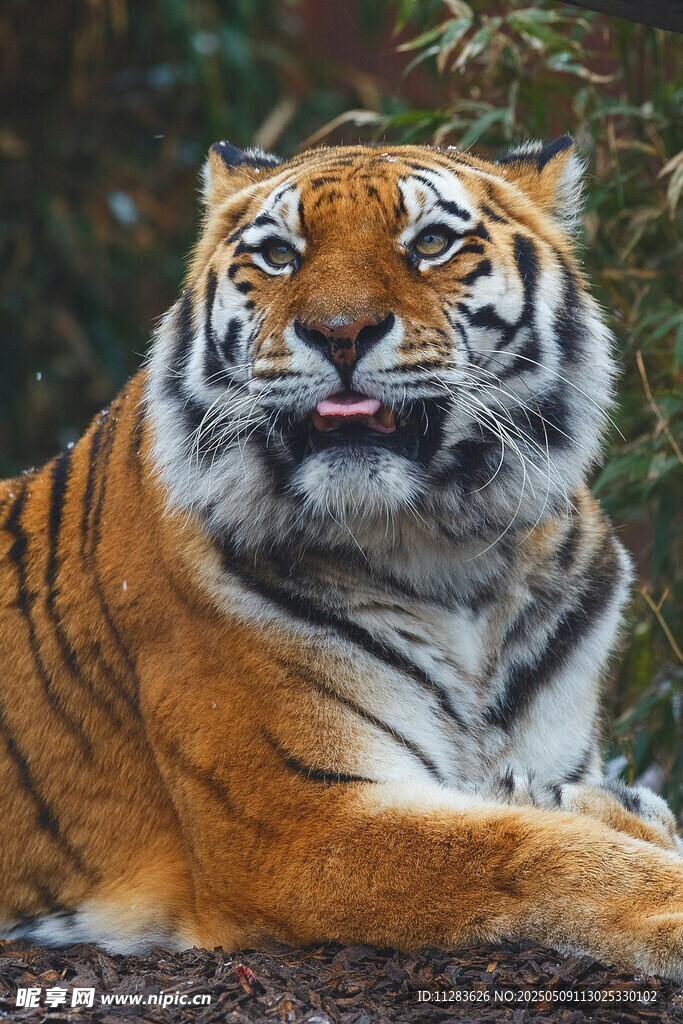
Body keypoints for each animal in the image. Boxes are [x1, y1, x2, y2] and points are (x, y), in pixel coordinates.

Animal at [1, 136, 682, 980]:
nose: (339, 331)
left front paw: (614, 806)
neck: (446, 554)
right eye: (278, 254)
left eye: (431, 243)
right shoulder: (298, 821)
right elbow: (531, 848)